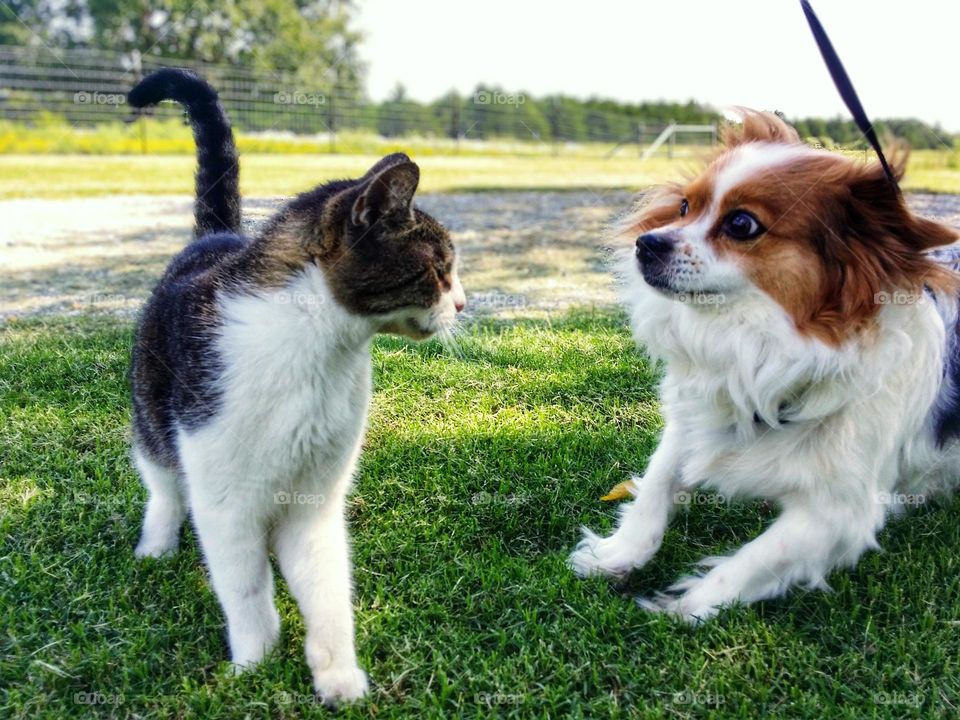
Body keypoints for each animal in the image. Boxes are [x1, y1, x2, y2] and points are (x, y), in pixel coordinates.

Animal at [568, 111, 960, 620]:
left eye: (740, 223)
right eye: (684, 207)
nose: (645, 243)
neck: (753, 341)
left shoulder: (840, 512)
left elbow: (752, 561)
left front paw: (685, 607)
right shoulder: (694, 419)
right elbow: (656, 486)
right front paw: (619, 554)